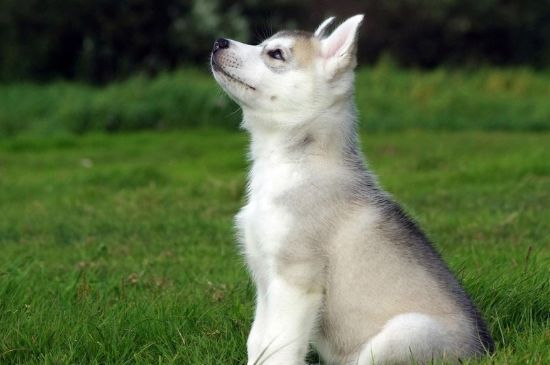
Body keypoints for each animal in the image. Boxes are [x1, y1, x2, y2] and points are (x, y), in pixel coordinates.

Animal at [211, 14, 496, 364]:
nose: (218, 42)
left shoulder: (294, 280)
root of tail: (484, 350)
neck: (295, 161)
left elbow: (278, 347)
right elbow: (259, 341)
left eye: (276, 53)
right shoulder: (266, 283)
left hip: (398, 336)